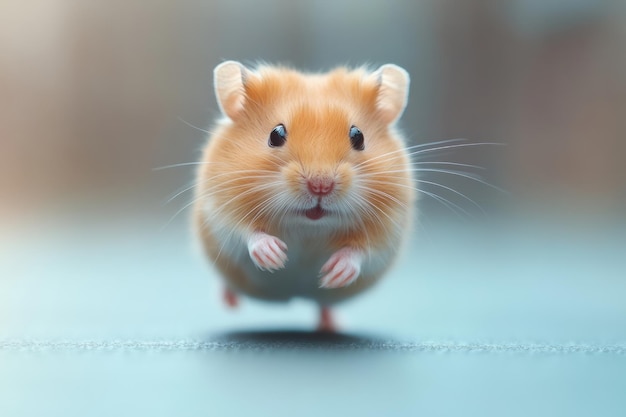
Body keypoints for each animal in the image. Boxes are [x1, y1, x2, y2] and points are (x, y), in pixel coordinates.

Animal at [193, 60, 412, 330]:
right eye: (276, 134)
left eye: (358, 136)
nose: (320, 186)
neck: (308, 225)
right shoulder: (221, 210)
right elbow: (247, 233)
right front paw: (275, 257)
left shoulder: (389, 229)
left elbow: (362, 251)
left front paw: (334, 273)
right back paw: (229, 301)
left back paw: (333, 324)